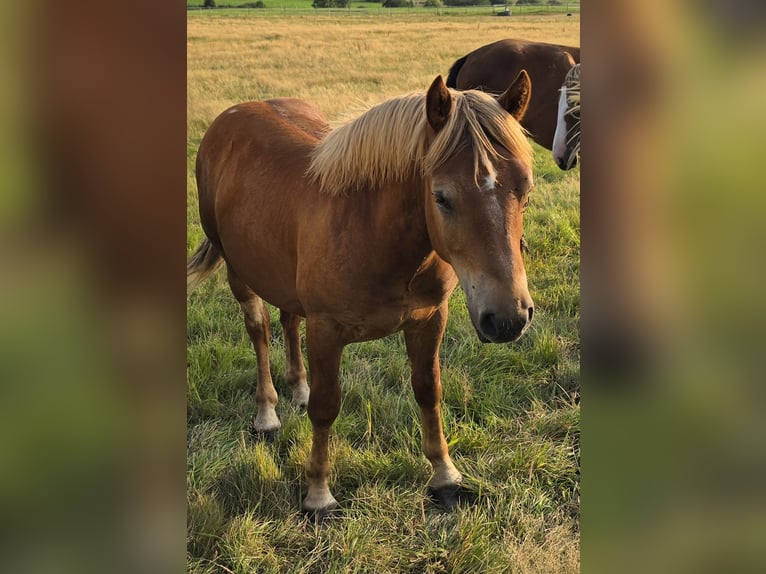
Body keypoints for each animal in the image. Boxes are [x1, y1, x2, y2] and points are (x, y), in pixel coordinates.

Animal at [187, 72, 535, 514]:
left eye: (526, 189)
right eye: (441, 196)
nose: (507, 318)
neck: (374, 230)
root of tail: (230, 117)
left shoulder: (429, 319)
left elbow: (428, 391)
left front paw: (445, 475)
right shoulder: (326, 330)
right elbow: (326, 407)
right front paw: (318, 495)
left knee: (288, 319)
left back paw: (298, 388)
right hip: (239, 272)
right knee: (259, 329)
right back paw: (267, 413)